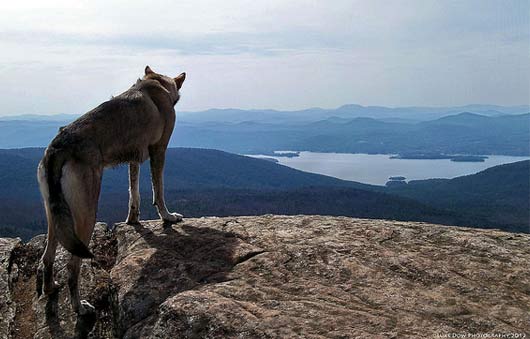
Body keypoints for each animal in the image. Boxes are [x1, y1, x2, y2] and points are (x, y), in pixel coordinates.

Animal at [37, 66, 186, 316]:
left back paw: (50, 288)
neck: (157, 84)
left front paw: (133, 219)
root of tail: (57, 148)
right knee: (71, 265)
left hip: (54, 216)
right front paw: (168, 217)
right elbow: (158, 189)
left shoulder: (134, 159)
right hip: (86, 215)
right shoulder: (159, 150)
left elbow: (133, 192)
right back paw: (80, 307)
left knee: (47, 257)